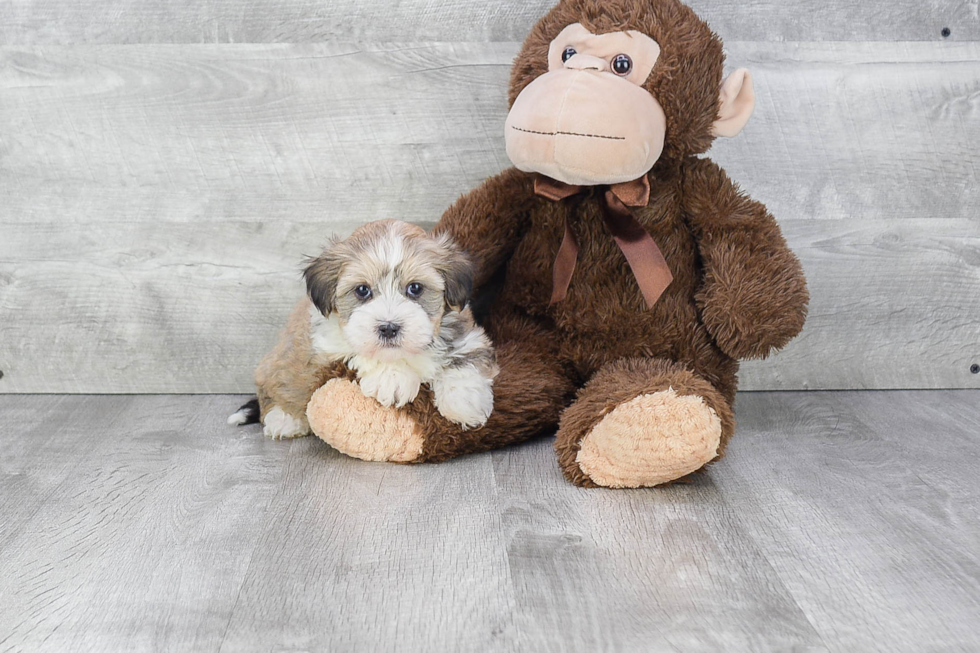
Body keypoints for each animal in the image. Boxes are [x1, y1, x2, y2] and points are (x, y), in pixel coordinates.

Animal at [229, 218, 498, 438]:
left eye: (415, 288)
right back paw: (284, 419)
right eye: (362, 290)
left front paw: (465, 402)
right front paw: (393, 378)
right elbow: (359, 350)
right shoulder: (327, 341)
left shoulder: (465, 332)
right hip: (276, 366)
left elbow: (465, 359)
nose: (389, 328)